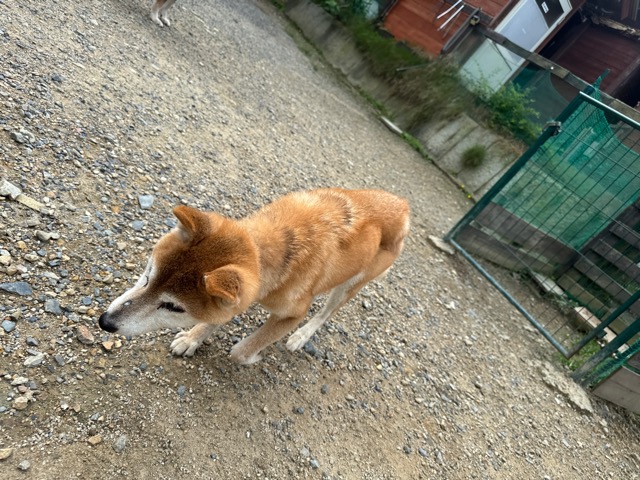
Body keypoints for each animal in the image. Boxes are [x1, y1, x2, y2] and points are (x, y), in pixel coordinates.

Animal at [99, 188, 410, 364]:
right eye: (148, 276)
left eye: (173, 307)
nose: (105, 322)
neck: (273, 250)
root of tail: (403, 204)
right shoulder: (238, 297)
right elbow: (217, 317)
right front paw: (193, 338)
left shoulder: (292, 314)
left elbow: (241, 350)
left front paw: (252, 356)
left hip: (350, 285)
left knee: (325, 314)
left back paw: (301, 337)